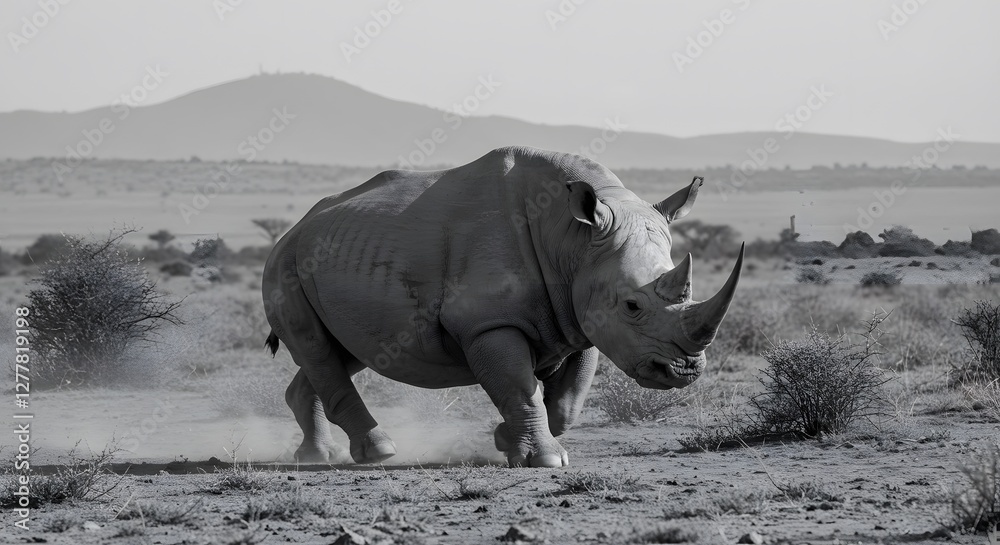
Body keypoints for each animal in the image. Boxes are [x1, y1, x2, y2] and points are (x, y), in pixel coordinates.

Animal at [262, 146, 743, 468]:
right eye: (631, 305)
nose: (684, 371)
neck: (573, 237)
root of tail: (294, 227)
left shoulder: (580, 315)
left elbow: (567, 399)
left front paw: (504, 441)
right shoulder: (489, 322)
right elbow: (518, 386)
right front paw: (544, 461)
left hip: (328, 257)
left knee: (342, 352)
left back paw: (317, 457)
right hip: (284, 264)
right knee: (316, 348)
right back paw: (377, 453)